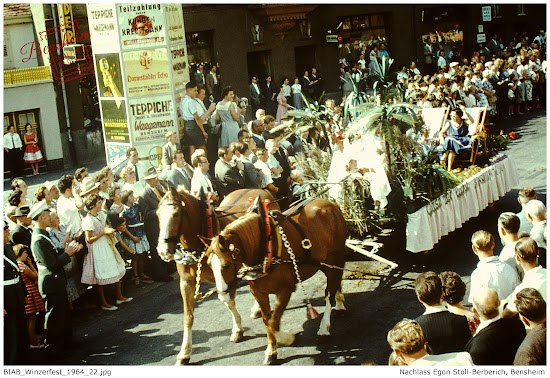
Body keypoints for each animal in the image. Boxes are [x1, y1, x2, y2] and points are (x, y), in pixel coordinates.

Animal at [157, 188, 280, 364]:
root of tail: (259, 190)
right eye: (158, 214)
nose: (163, 251)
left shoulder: (226, 276)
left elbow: (227, 300)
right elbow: (188, 316)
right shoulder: (186, 282)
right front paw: (184, 353)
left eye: (176, 213)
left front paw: (237, 330)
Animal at [203, 199, 350, 364]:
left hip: (335, 257)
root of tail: (331, 204)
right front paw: (271, 351)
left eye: (226, 265)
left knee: (330, 291)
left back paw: (324, 328)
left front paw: (289, 338)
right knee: (336, 282)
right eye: (209, 264)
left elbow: (273, 324)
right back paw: (340, 305)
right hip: (323, 263)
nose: (222, 296)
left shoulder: (285, 290)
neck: (265, 245)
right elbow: (267, 322)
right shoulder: (258, 293)